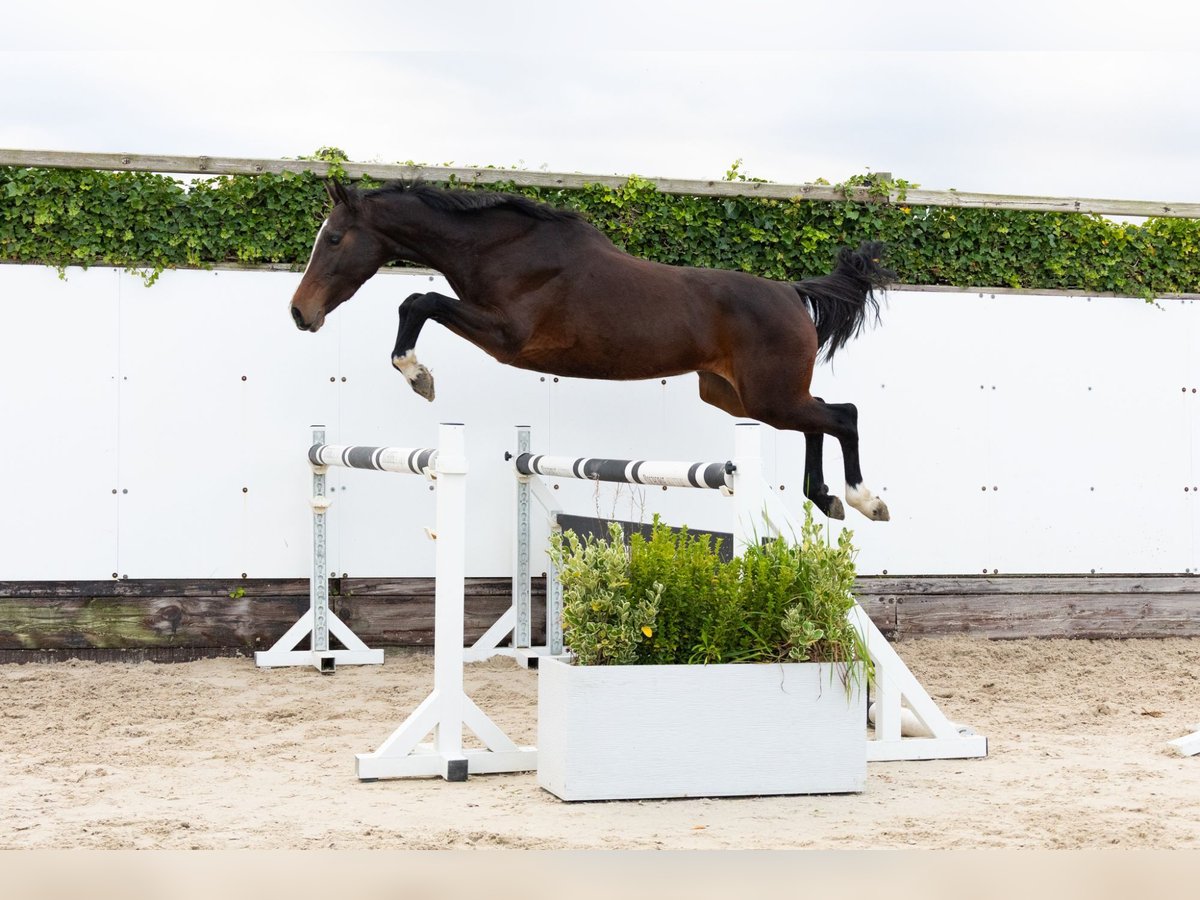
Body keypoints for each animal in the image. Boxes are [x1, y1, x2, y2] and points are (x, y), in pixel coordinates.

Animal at [290, 180, 894, 521]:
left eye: (335, 239)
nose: (300, 313)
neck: (501, 249)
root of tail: (792, 292)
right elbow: (417, 302)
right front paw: (418, 373)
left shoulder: (506, 337)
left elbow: (420, 301)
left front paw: (419, 377)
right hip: (739, 397)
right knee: (821, 417)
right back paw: (826, 498)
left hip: (767, 397)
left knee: (844, 415)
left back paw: (865, 500)